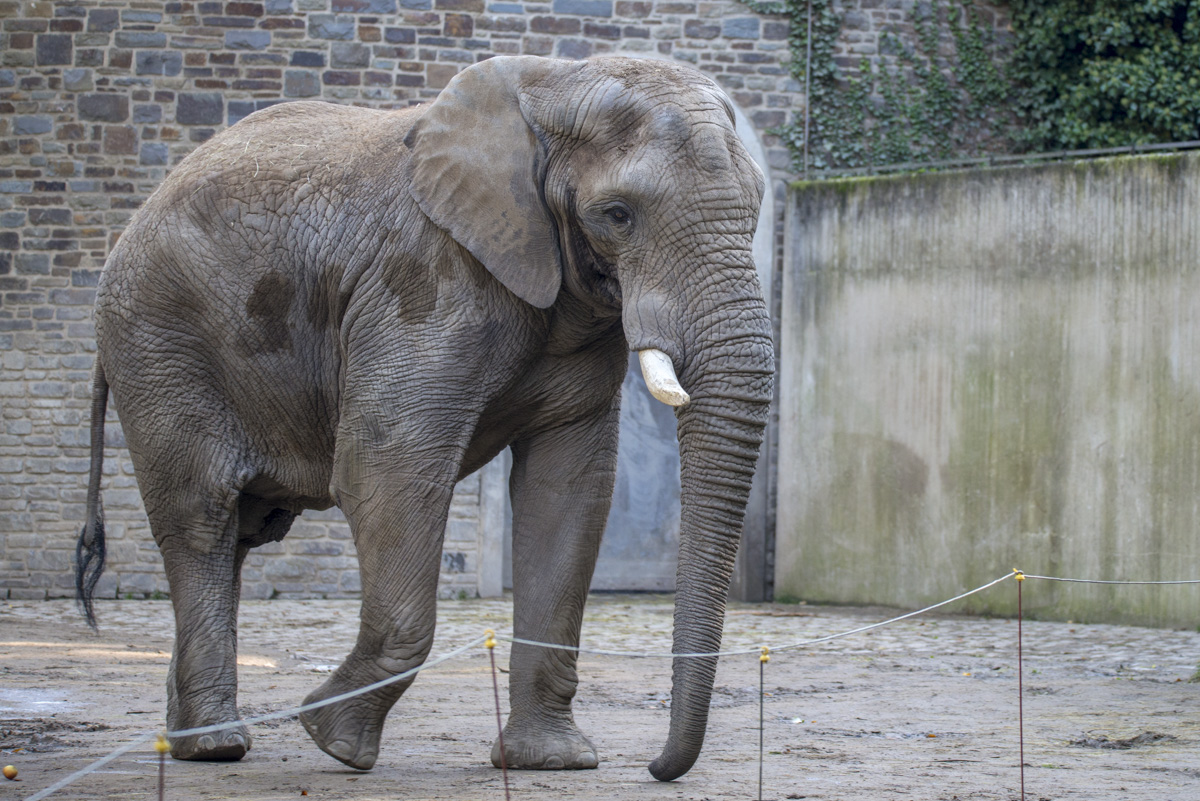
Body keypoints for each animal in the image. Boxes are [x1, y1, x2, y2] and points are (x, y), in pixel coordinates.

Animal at [74, 54, 774, 782]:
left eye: (757, 208)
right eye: (617, 214)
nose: (657, 766)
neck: (555, 82)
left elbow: (568, 490)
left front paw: (551, 761)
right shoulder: (423, 277)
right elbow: (389, 468)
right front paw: (334, 740)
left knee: (242, 532)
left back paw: (187, 739)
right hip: (159, 341)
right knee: (202, 518)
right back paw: (216, 745)